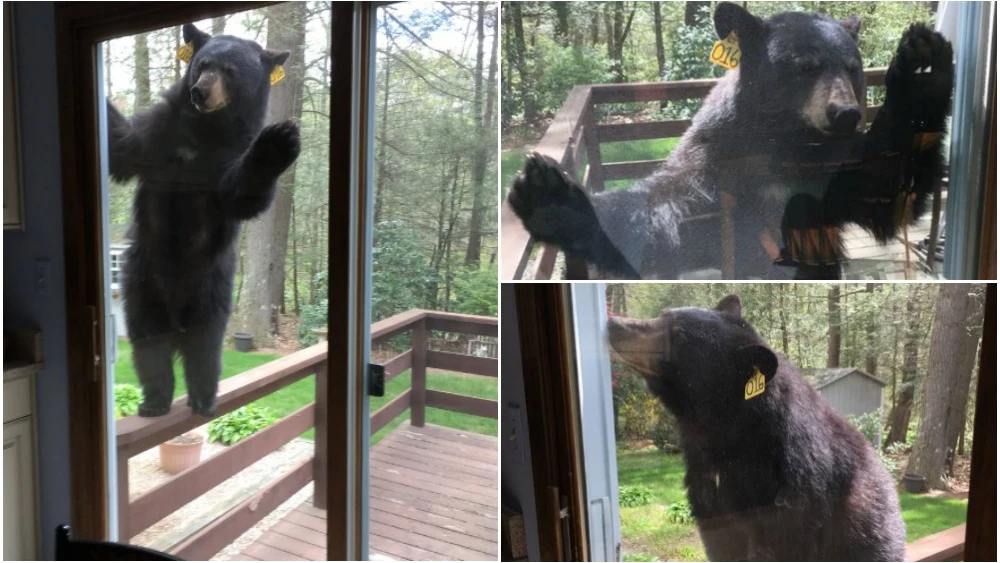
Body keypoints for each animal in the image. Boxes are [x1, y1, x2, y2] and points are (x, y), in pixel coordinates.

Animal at [109, 24, 298, 416]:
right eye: (202, 64)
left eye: (230, 71)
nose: (200, 91)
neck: (205, 131)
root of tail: (176, 315)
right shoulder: (159, 134)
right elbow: (124, 147)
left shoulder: (228, 156)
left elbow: (241, 196)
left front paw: (277, 141)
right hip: (141, 283)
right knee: (148, 343)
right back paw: (155, 400)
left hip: (212, 287)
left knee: (205, 348)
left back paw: (203, 398)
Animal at [508, 2, 952, 280]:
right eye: (805, 67)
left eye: (852, 67)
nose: (845, 114)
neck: (785, 145)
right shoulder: (716, 168)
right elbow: (660, 218)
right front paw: (549, 193)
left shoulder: (829, 172)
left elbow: (887, 193)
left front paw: (922, 58)